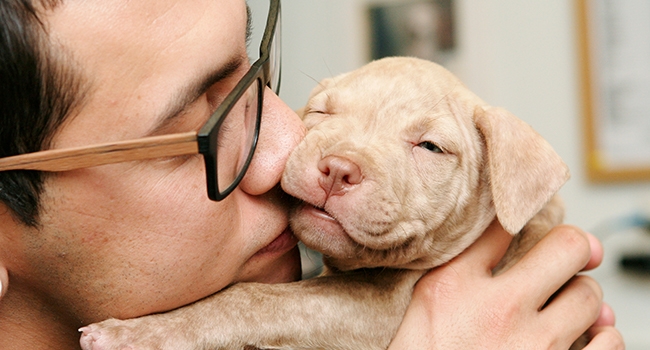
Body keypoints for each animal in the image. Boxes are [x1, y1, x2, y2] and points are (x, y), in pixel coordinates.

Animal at [79, 57, 572, 350]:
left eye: (431, 147)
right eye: (321, 113)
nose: (337, 170)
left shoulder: (372, 310)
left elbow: (252, 299)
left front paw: (135, 332)